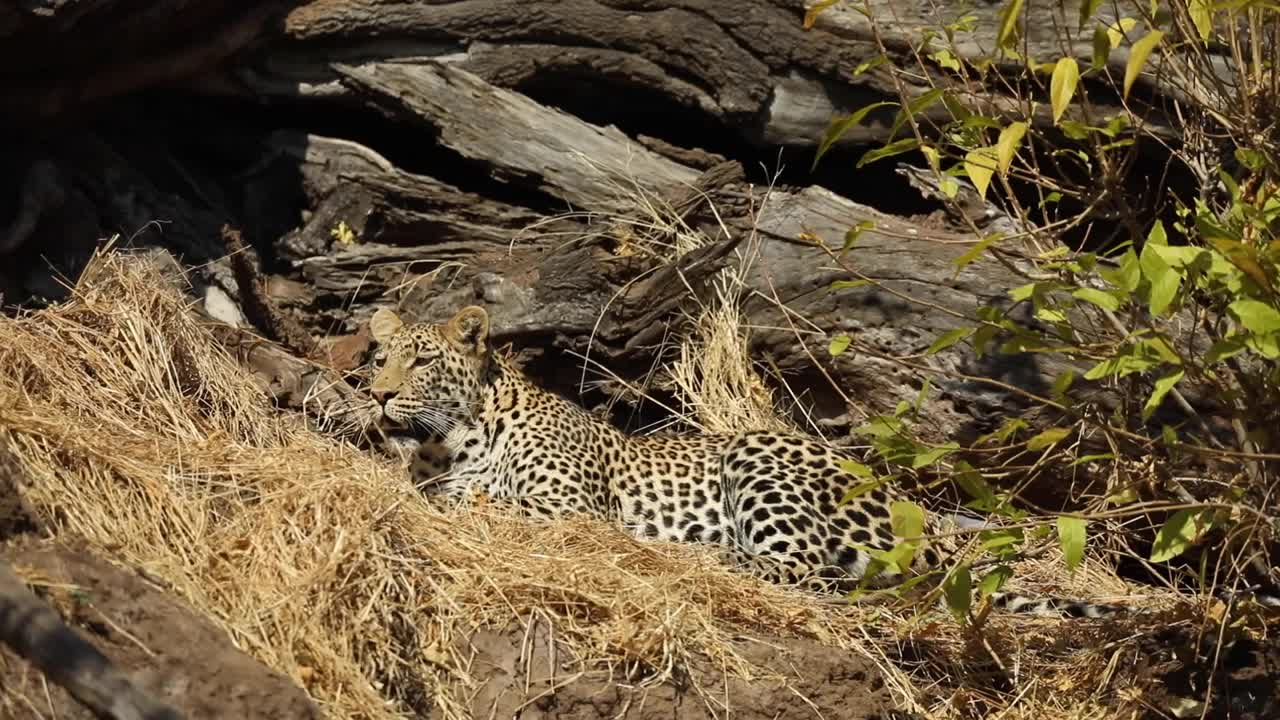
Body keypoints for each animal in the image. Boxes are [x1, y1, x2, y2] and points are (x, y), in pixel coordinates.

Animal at [367, 304, 1137, 618]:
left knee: (807, 570)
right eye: (381, 357)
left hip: (757, 455)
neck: (454, 439)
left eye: (423, 361)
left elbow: (487, 500)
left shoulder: (570, 504)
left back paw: (702, 555)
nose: (375, 393)